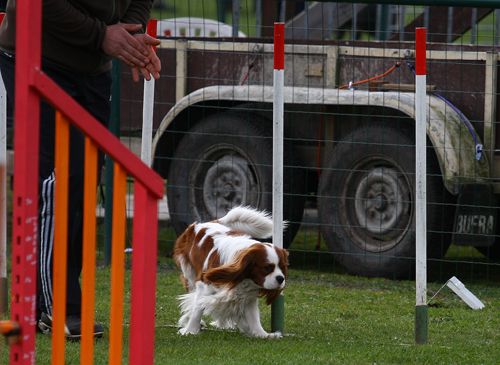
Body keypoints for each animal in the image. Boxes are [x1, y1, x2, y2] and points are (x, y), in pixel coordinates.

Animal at [173, 206, 288, 336]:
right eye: (267, 267)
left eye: (283, 268)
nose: (281, 279)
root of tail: (209, 222)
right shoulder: (203, 286)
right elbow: (197, 309)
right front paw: (190, 330)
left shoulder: (248, 296)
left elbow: (254, 317)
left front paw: (261, 334)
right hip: (190, 275)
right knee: (192, 296)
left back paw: (222, 324)